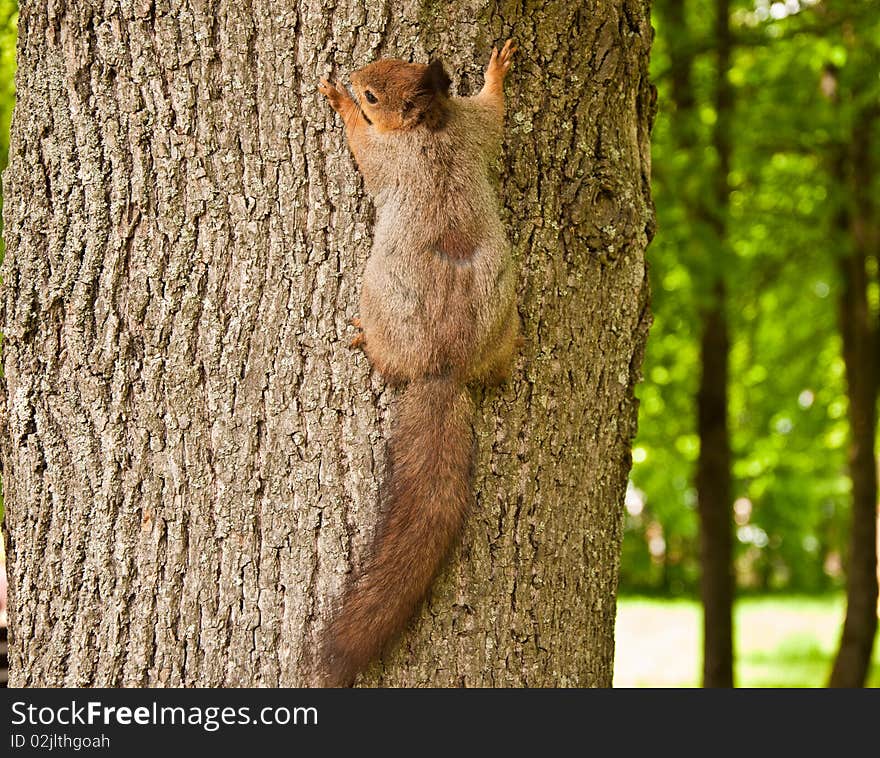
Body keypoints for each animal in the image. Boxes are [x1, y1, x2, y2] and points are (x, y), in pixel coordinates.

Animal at [318, 38, 520, 684]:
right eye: (391, 60)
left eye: (374, 92)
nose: (353, 75)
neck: (430, 125)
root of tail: (445, 368)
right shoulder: (473, 126)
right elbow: (494, 110)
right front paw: (497, 69)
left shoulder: (390, 155)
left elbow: (363, 146)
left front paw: (339, 103)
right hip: (505, 325)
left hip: (381, 301)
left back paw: (367, 342)